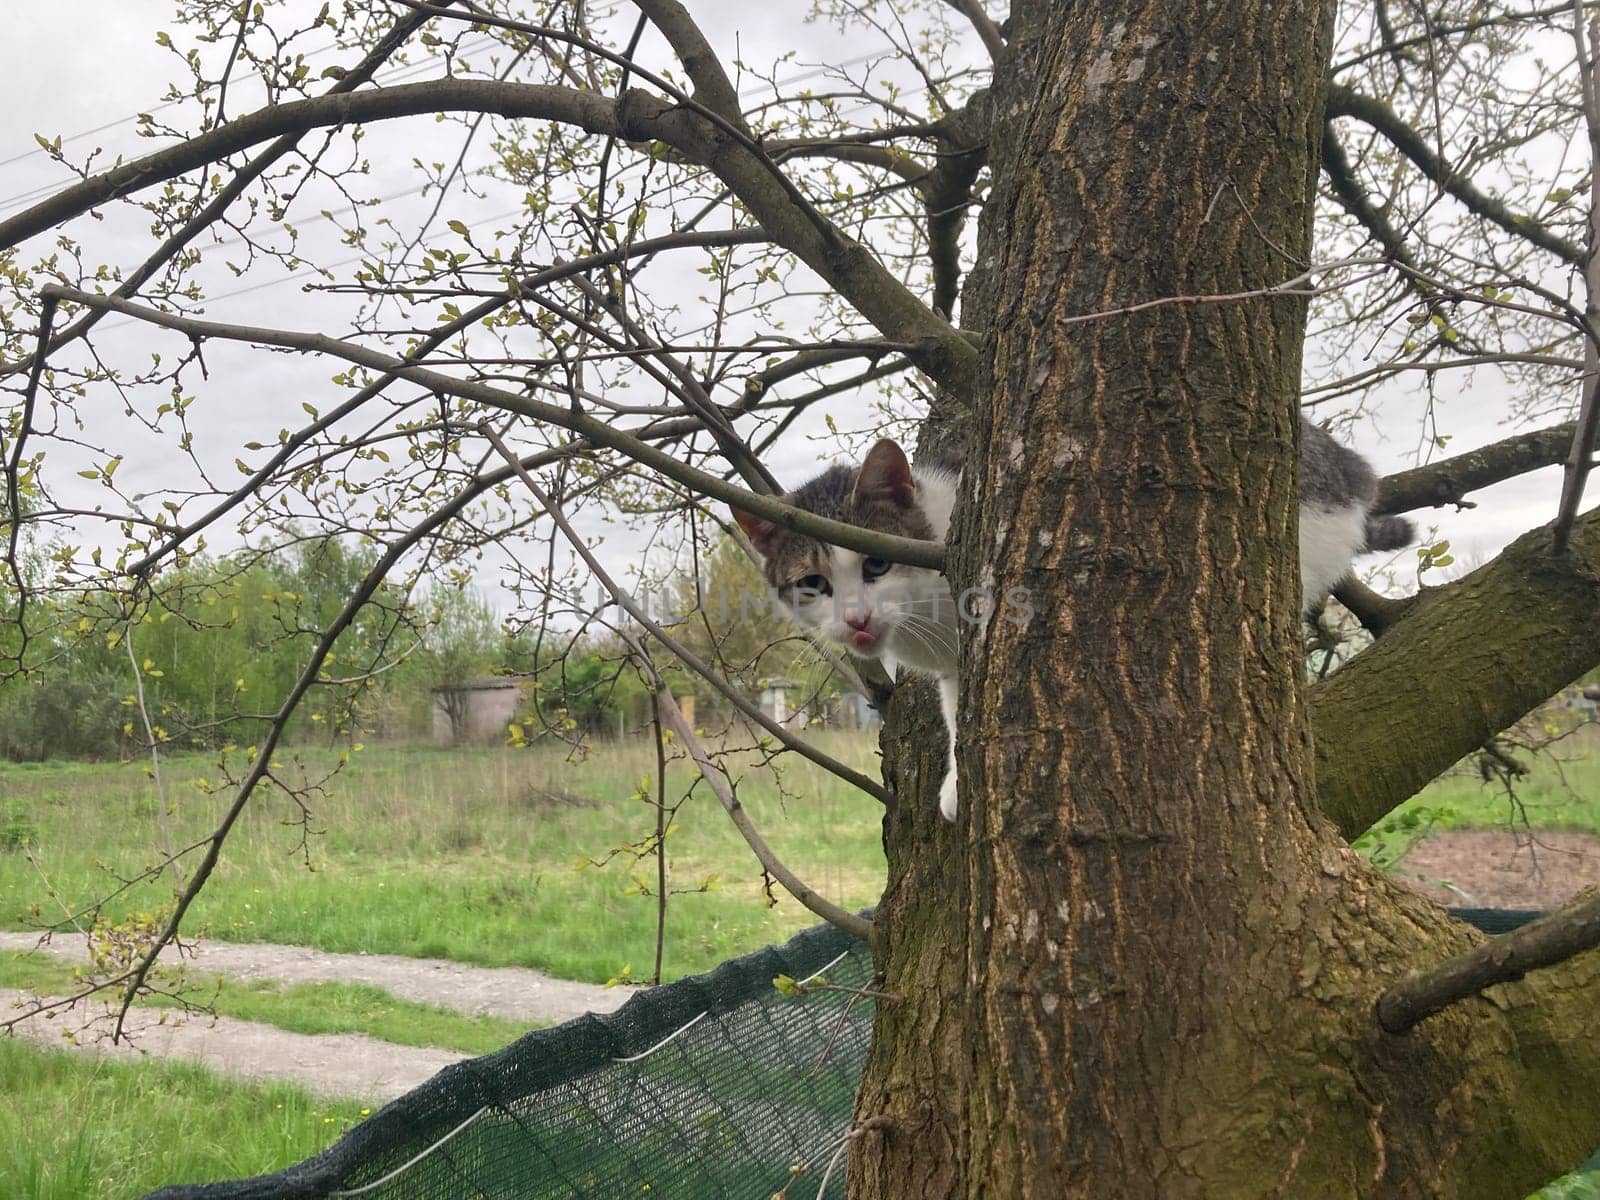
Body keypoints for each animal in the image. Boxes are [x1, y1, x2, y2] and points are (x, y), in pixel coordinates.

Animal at [732, 419, 1414, 825]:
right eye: (813, 585)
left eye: (876, 563)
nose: (856, 621)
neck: (927, 612)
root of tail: (1347, 464)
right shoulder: (952, 665)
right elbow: (956, 706)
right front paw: (955, 779)